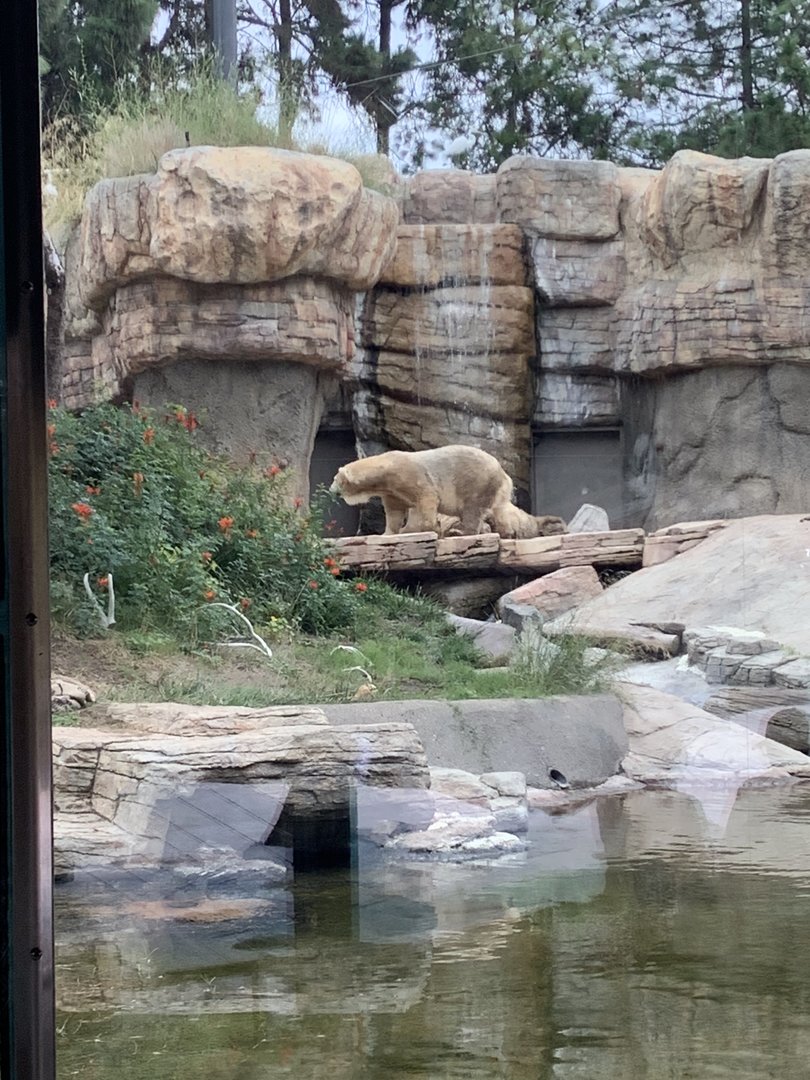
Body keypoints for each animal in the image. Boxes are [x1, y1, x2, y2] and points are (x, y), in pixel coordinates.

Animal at [330, 445, 567, 538]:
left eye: (335, 480)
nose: (331, 491)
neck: (386, 466)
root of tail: (503, 473)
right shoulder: (392, 490)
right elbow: (395, 510)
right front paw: (388, 533)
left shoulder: (408, 475)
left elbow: (425, 498)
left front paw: (412, 529)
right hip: (496, 490)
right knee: (499, 510)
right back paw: (506, 531)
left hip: (476, 482)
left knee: (472, 510)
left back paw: (463, 532)